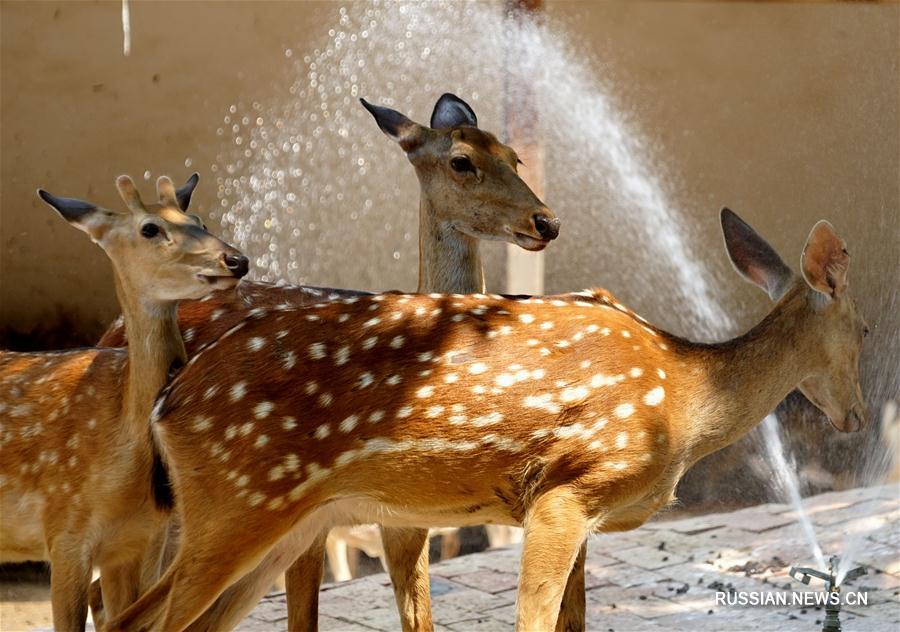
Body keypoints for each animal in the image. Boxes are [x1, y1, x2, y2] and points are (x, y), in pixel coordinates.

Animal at [107, 209, 872, 632]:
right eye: (864, 328)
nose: (860, 416)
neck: (684, 399)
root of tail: (168, 400)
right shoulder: (566, 492)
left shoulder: (582, 509)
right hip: (236, 503)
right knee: (142, 620)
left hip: (280, 523)